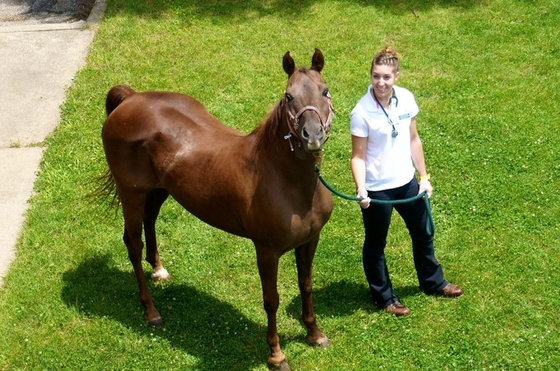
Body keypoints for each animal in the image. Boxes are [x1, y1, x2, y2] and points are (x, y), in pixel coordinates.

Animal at [100, 49, 334, 371]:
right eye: (288, 96)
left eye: (325, 91)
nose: (312, 136)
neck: (286, 180)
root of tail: (130, 98)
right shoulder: (267, 251)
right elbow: (271, 299)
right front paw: (276, 354)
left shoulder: (310, 240)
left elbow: (306, 284)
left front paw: (315, 334)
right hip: (131, 194)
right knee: (133, 244)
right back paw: (151, 311)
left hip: (159, 190)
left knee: (150, 222)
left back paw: (158, 270)